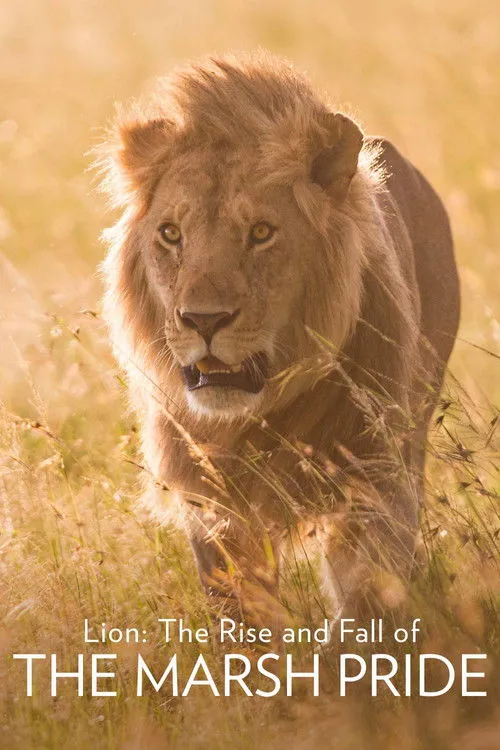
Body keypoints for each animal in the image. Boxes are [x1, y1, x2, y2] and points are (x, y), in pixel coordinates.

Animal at [100, 52, 460, 621]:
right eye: (171, 234)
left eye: (262, 233)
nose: (203, 320)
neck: (259, 417)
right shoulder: (213, 506)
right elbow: (240, 614)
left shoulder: (377, 483)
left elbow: (366, 600)